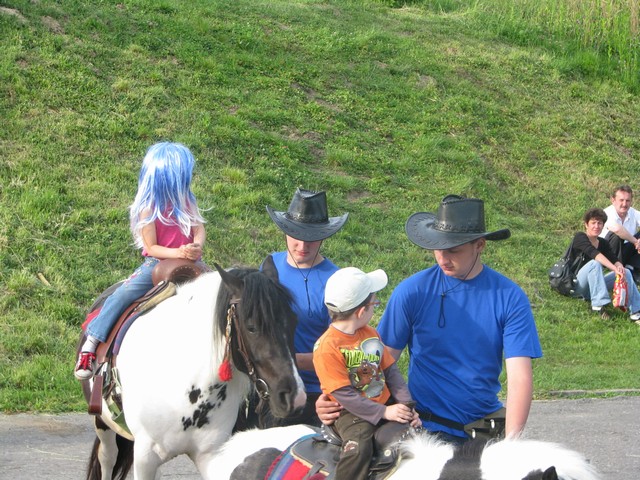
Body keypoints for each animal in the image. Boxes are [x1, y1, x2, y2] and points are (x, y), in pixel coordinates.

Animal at [79, 257, 307, 480]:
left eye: (295, 321)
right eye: (252, 327)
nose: (294, 397)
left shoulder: (210, 455)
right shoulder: (145, 458)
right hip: (103, 424)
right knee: (108, 458)